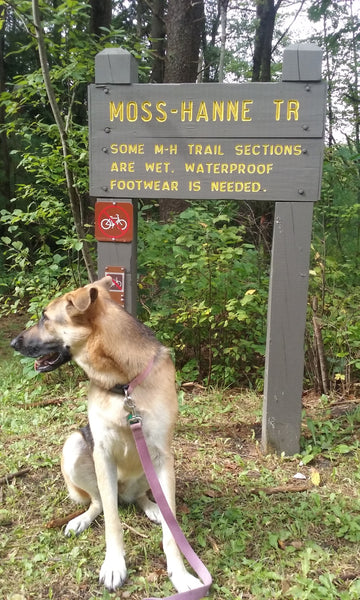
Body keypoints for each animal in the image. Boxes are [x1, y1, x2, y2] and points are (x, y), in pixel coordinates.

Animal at [11, 278, 201, 596]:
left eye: (45, 318)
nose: (13, 343)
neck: (123, 384)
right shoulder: (103, 453)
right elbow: (112, 520)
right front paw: (114, 565)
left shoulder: (163, 457)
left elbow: (171, 530)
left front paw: (180, 573)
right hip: (76, 447)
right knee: (99, 502)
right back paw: (82, 520)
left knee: (143, 497)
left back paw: (152, 508)